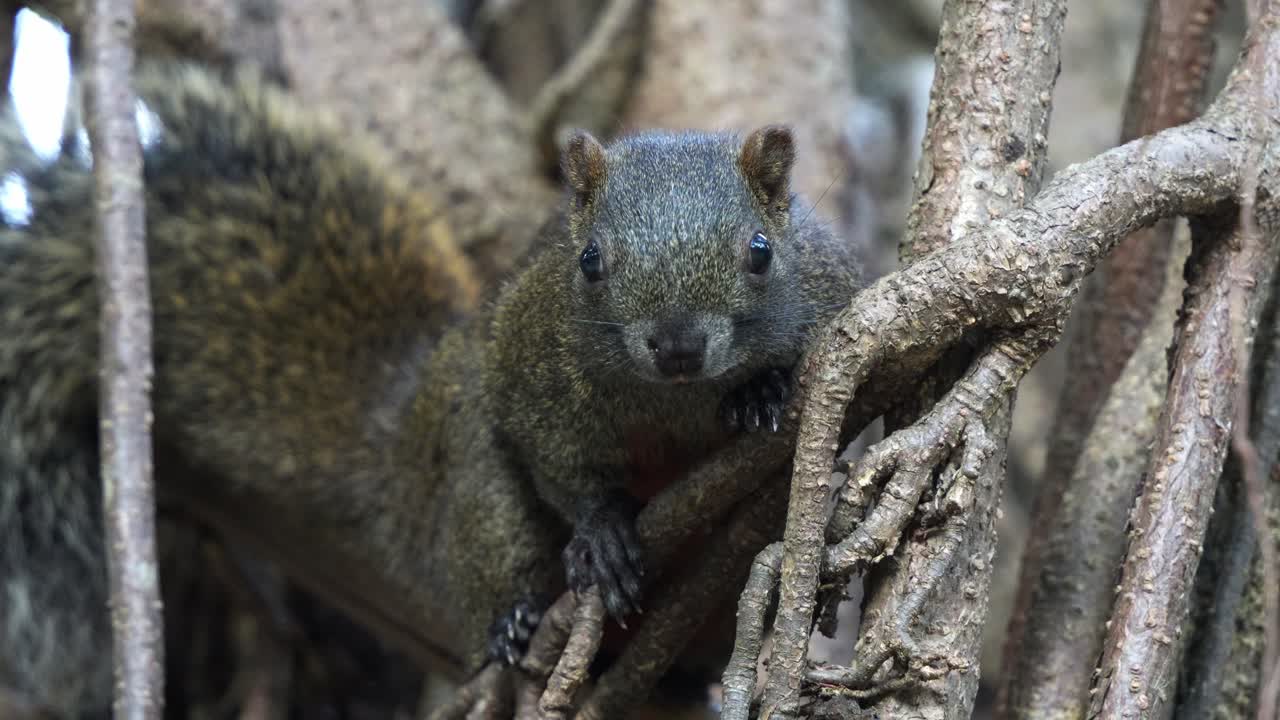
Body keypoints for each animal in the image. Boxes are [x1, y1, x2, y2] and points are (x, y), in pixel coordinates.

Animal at [0, 61, 860, 716]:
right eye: (588, 261)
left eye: (760, 250)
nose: (678, 346)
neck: (676, 400)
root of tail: (405, 446)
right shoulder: (528, 375)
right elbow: (559, 467)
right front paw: (603, 532)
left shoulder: (835, 295)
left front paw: (763, 395)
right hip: (474, 483)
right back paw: (514, 626)